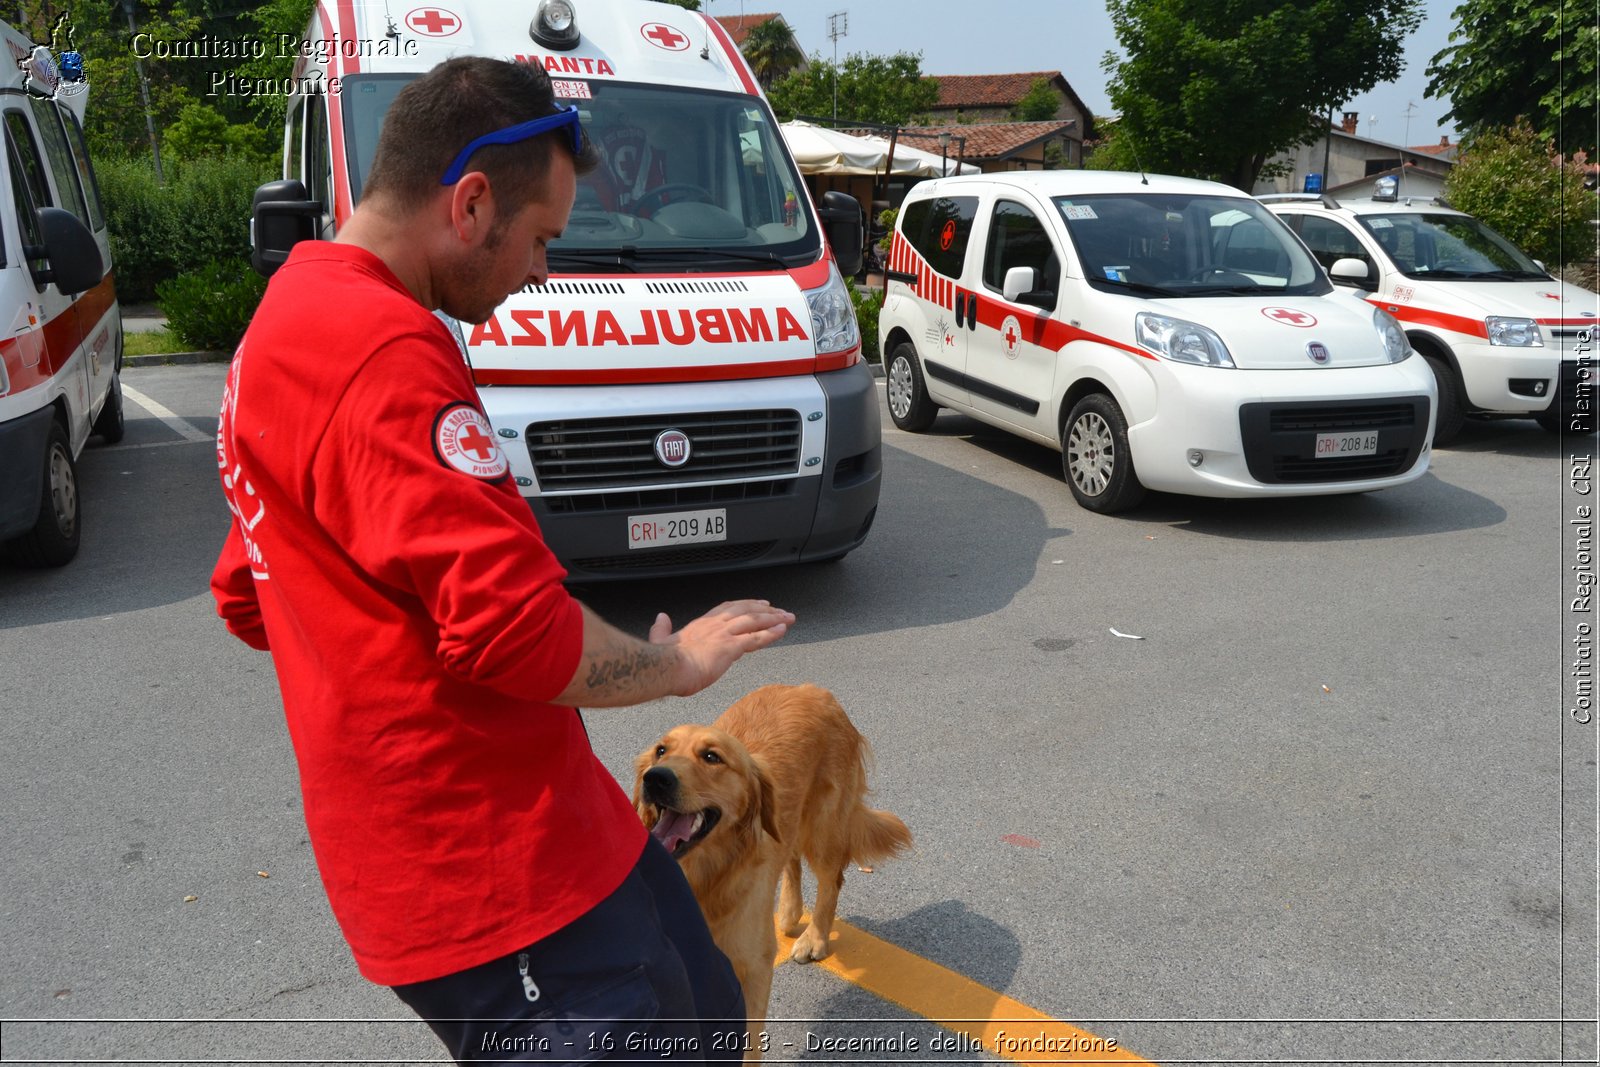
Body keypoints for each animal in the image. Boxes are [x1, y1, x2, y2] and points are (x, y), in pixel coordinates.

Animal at [636, 687, 915, 1055]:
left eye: (712, 757)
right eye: (661, 750)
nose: (656, 778)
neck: (704, 877)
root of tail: (815, 690)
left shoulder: (752, 967)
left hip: (823, 828)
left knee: (831, 881)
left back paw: (815, 938)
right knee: (791, 858)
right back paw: (788, 911)